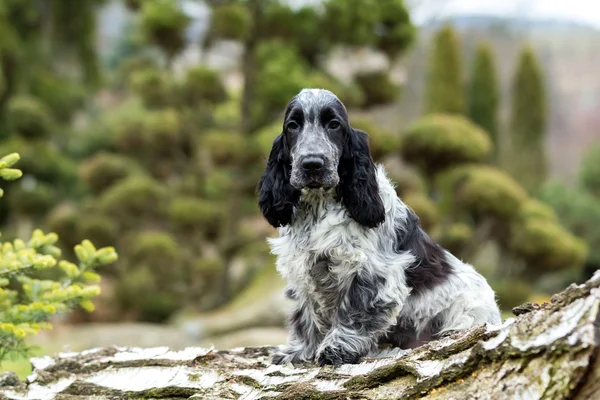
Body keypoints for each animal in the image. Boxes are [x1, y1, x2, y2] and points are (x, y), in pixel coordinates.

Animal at [255, 88, 500, 366]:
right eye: (293, 125)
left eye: (334, 124)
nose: (312, 164)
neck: (319, 206)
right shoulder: (304, 270)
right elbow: (306, 316)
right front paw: (298, 352)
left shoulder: (372, 271)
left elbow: (356, 310)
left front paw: (336, 349)